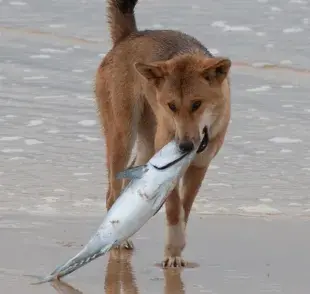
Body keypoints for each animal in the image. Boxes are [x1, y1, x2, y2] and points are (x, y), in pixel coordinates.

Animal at [95, 0, 231, 268]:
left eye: (197, 104)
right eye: (171, 106)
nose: (184, 146)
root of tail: (128, 36)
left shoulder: (200, 165)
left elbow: (184, 209)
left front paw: (176, 249)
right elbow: (174, 209)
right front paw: (173, 249)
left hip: (147, 145)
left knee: (129, 179)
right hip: (123, 136)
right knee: (112, 193)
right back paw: (118, 242)